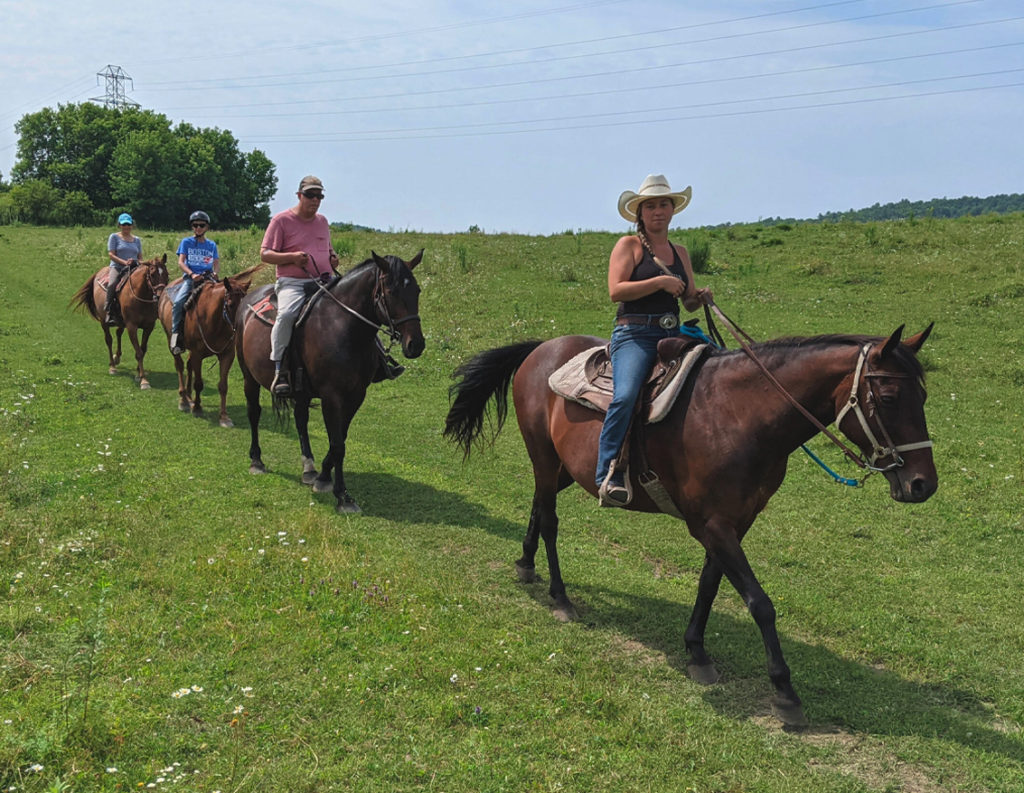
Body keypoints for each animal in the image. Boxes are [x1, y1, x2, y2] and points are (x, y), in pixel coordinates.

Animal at [68, 256, 168, 389]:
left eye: (167, 274)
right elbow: (139, 352)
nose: (160, 296)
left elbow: (143, 349)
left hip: (121, 322)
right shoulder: (131, 326)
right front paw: (144, 380)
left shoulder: (149, 326)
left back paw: (117, 357)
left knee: (118, 332)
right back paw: (112, 366)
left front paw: (138, 373)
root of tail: (98, 273)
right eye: (152, 274)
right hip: (104, 321)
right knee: (109, 340)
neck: (140, 296)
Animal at [235, 252, 423, 518]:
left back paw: (309, 468)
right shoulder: (332, 396)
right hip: (248, 377)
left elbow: (339, 439)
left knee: (301, 420)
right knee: (254, 413)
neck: (343, 327)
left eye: (416, 290)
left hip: (301, 391)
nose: (415, 344)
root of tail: (248, 301)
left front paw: (323, 477)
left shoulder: (356, 395)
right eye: (391, 290)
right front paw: (343, 496)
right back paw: (257, 460)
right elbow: (337, 445)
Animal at [444, 325, 937, 729]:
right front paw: (785, 692)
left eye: (924, 398)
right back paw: (560, 597)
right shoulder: (712, 525)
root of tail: (541, 348)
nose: (923, 484)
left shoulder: (734, 521)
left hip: (563, 467)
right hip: (544, 457)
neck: (740, 415)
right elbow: (760, 603)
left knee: (536, 505)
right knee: (549, 520)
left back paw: (525, 564)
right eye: (888, 399)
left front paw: (696, 650)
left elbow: (709, 585)